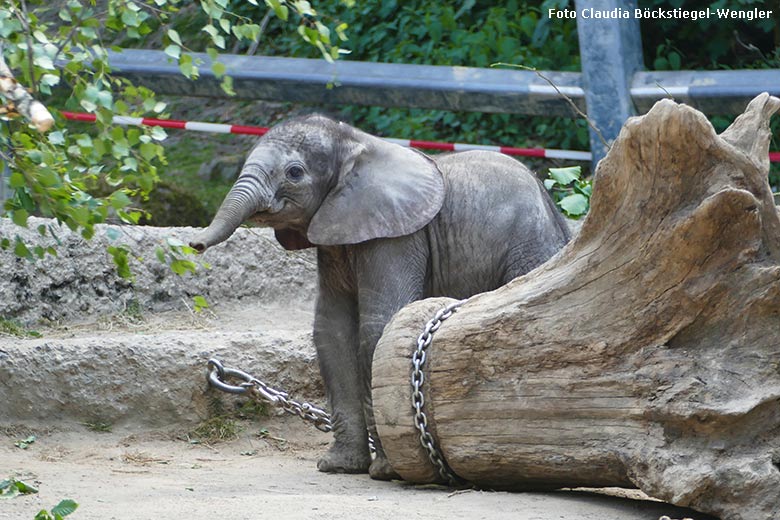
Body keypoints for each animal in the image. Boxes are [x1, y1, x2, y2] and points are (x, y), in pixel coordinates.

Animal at [192, 114, 568, 480]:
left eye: (294, 173)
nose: (195, 244)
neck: (354, 142)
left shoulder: (396, 236)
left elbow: (379, 325)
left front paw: (387, 471)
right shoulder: (337, 240)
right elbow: (332, 333)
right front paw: (339, 467)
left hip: (530, 245)